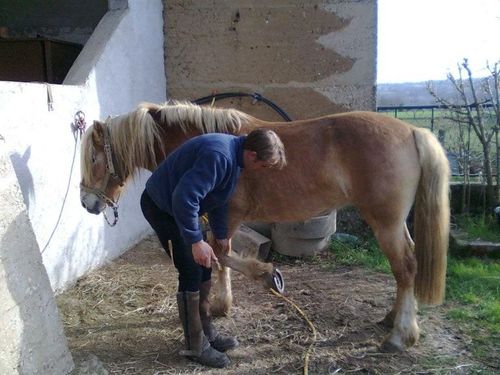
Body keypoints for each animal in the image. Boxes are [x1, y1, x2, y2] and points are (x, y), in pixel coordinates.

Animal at [80, 100, 452, 352]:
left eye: (95, 158)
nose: (87, 203)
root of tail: (412, 131)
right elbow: (218, 257)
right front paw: (224, 303)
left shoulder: (226, 215)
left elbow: (220, 255)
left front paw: (261, 277)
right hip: (394, 224)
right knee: (406, 266)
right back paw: (392, 319)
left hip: (385, 223)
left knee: (406, 267)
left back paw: (399, 336)